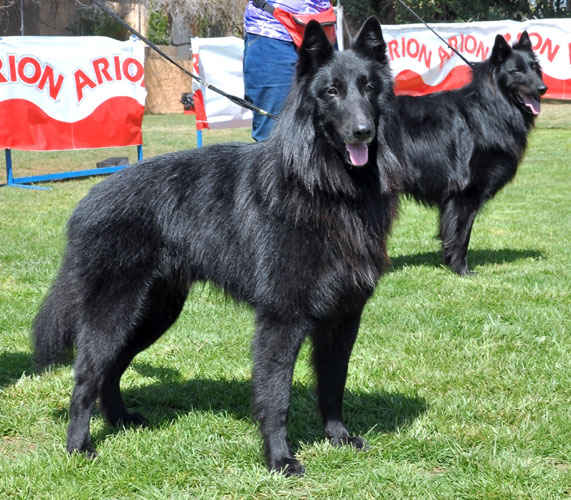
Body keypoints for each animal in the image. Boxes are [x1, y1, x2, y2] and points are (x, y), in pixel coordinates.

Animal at [32, 18, 406, 476]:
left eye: (368, 88)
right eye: (331, 92)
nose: (362, 132)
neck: (324, 186)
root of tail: (89, 199)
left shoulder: (344, 317)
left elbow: (333, 383)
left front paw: (337, 437)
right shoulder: (282, 319)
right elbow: (276, 395)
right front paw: (279, 458)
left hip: (153, 314)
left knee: (111, 370)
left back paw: (120, 420)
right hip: (116, 314)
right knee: (86, 377)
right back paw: (79, 446)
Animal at [396, 33, 548, 276]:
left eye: (534, 68)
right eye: (517, 70)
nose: (543, 88)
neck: (488, 110)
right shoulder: (465, 193)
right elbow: (461, 235)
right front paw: (462, 271)